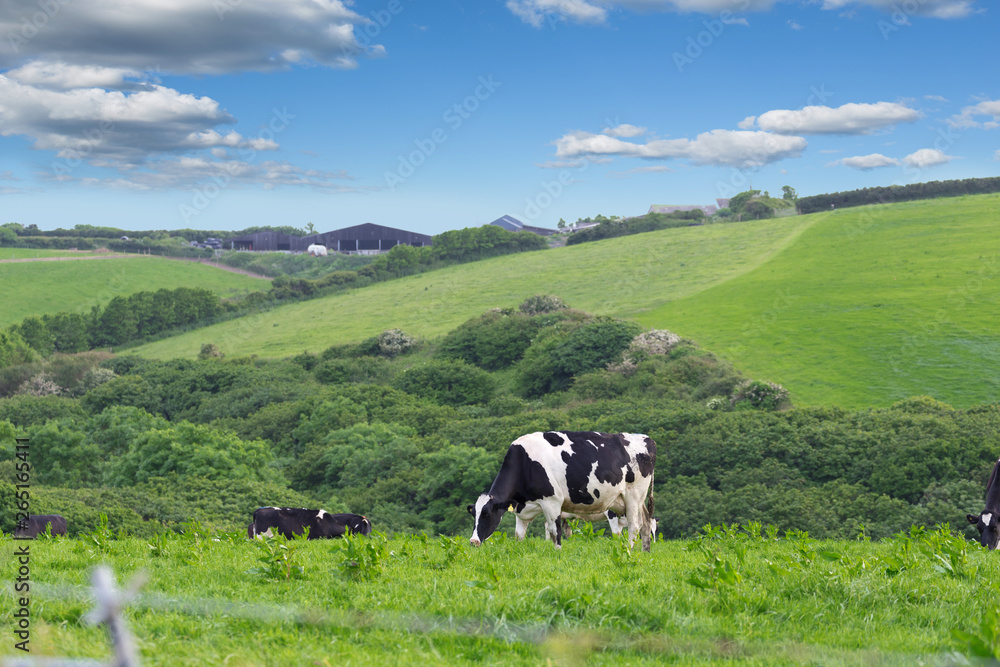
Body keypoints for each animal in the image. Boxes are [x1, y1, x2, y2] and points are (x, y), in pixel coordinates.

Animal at [468, 434, 656, 552]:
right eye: (474, 514)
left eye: (486, 514)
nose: (473, 541)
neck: (525, 463)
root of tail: (646, 439)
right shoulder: (523, 509)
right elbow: (519, 535)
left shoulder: (552, 501)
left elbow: (555, 532)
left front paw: (557, 554)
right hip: (638, 500)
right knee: (646, 522)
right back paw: (645, 551)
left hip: (633, 496)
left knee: (634, 526)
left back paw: (629, 551)